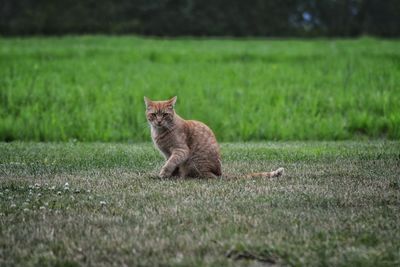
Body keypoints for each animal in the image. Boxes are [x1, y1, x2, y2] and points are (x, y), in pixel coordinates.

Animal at [145, 97, 284, 180]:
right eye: (154, 115)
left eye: (164, 114)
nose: (159, 121)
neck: (160, 132)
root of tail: (219, 174)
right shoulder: (167, 153)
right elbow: (172, 164)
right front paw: (170, 175)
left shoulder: (180, 150)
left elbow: (171, 163)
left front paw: (164, 174)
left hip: (194, 163)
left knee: (203, 176)